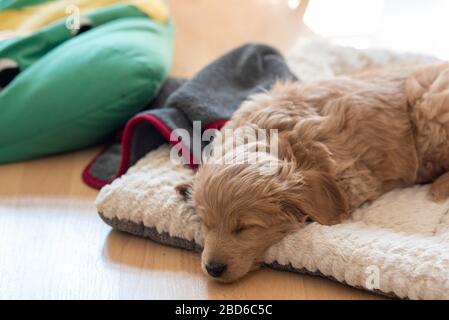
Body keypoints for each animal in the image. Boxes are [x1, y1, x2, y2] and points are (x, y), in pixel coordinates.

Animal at [177, 61, 448, 282]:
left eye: (245, 228)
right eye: (206, 224)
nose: (213, 268)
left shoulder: (352, 177)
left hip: (430, 110)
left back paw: (439, 187)